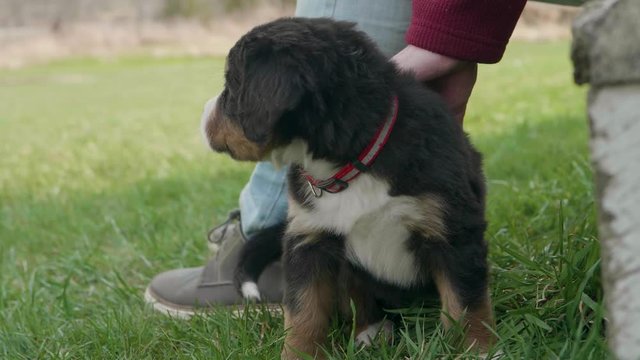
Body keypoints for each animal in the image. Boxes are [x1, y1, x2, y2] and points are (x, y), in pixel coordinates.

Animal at [202, 16, 492, 358]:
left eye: (232, 87)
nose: (203, 114)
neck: (351, 166)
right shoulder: (309, 238)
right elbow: (303, 312)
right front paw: (299, 353)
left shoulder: (452, 230)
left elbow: (465, 301)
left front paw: (478, 349)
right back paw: (371, 332)